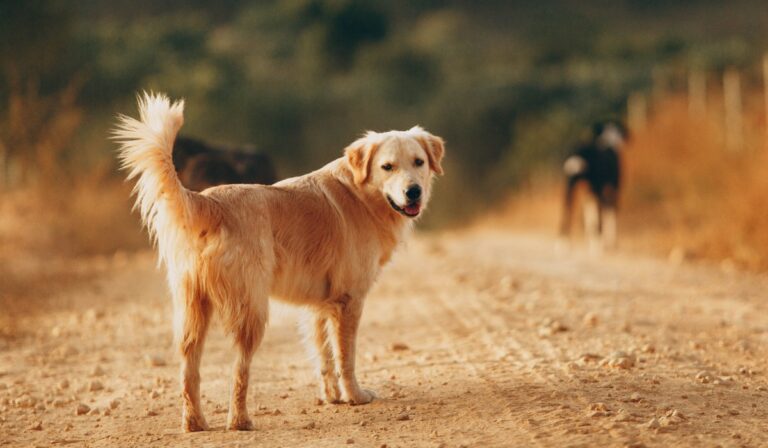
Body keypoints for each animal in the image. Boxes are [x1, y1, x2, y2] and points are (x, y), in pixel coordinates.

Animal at [113, 93, 444, 432]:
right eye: (387, 167)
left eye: (418, 162)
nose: (413, 192)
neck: (361, 194)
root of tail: (210, 201)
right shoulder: (349, 301)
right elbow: (345, 356)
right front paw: (355, 396)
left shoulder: (320, 305)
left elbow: (323, 355)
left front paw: (332, 396)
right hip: (252, 311)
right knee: (239, 370)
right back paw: (240, 420)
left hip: (193, 309)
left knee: (189, 368)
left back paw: (195, 423)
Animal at [560, 121, 628, 250]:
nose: (620, 142)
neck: (608, 141)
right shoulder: (613, 189)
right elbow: (610, 213)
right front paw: (611, 243)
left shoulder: (588, 195)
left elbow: (590, 218)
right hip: (598, 190)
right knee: (601, 216)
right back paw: (598, 247)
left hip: (570, 188)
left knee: (566, 212)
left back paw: (563, 245)